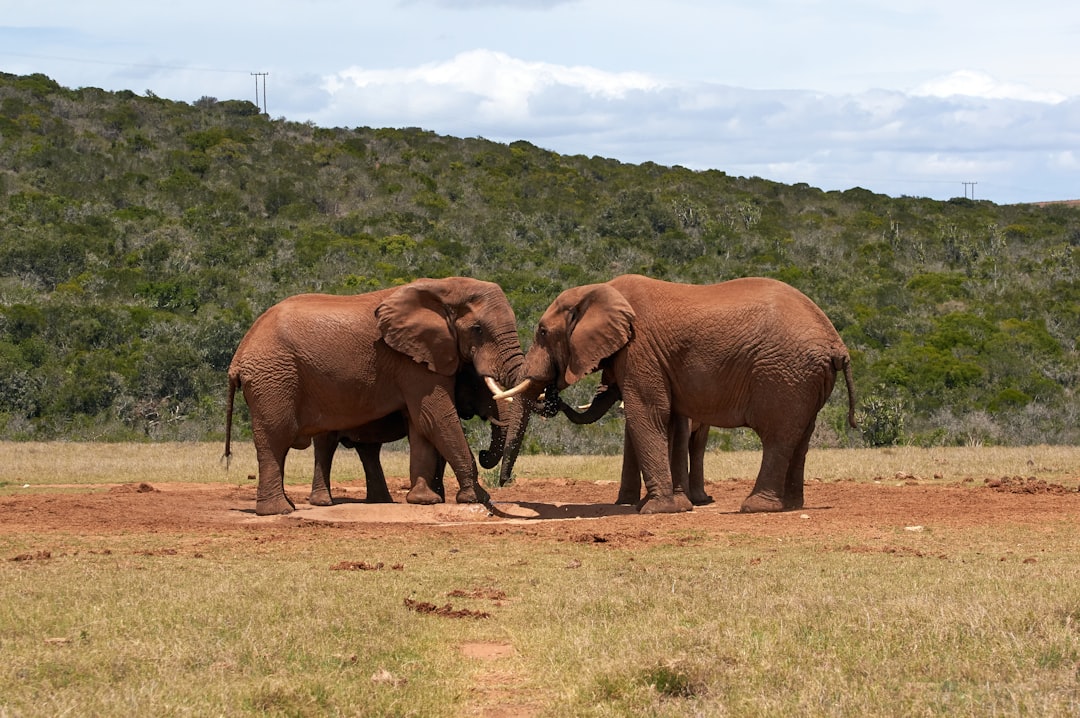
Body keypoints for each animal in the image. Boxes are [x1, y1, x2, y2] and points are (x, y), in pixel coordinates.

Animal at [225, 274, 529, 516]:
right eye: (478, 329)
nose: (484, 453)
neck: (445, 288)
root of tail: (238, 357)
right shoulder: (413, 360)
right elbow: (436, 417)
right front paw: (476, 498)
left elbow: (421, 424)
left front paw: (425, 500)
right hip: (273, 378)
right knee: (278, 437)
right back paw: (281, 510)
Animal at [494, 272, 855, 511]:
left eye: (542, 332)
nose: (504, 483)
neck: (600, 290)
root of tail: (837, 344)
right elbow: (664, 419)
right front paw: (653, 505)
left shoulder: (640, 350)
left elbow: (647, 413)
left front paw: (656, 510)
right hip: (804, 378)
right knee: (801, 436)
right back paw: (791, 506)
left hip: (783, 373)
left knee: (777, 436)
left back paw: (755, 507)